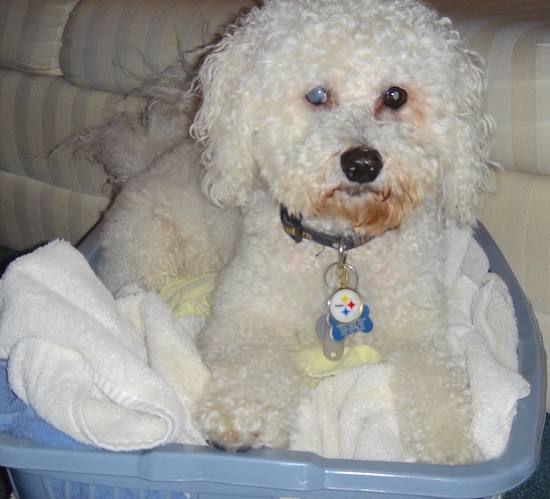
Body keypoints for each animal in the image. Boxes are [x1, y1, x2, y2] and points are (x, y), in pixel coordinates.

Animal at [97, 0, 498, 464]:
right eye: (317, 95)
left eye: (395, 96)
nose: (362, 163)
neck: (340, 242)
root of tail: (141, 164)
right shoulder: (245, 315)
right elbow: (251, 367)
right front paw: (242, 419)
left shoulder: (420, 329)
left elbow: (439, 385)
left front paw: (449, 448)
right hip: (145, 257)